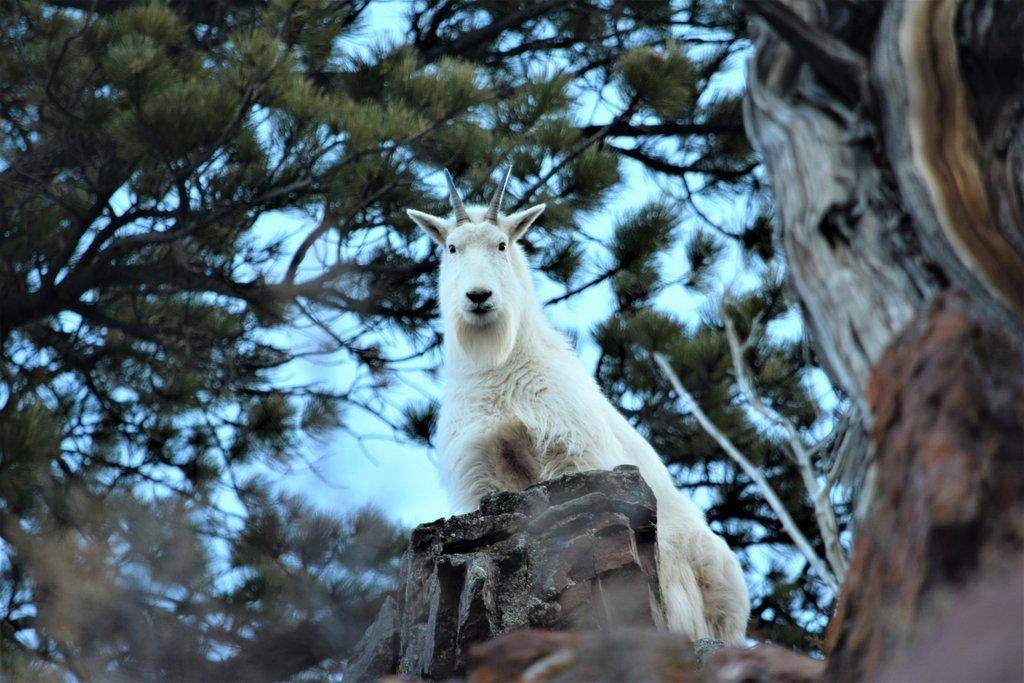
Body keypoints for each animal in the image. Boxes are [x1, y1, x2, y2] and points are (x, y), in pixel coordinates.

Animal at [407, 167, 753, 643]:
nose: (478, 297)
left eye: (502, 244)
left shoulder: (570, 450)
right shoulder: (482, 473)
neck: (497, 368)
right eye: (452, 247)